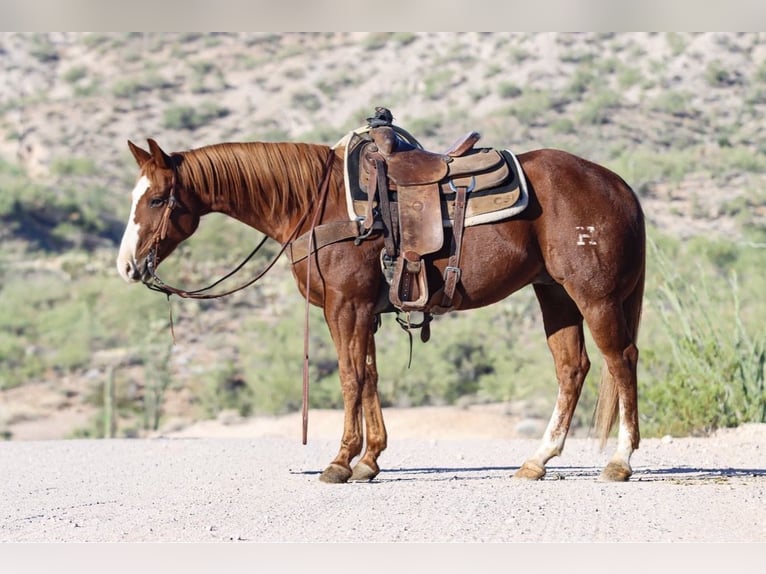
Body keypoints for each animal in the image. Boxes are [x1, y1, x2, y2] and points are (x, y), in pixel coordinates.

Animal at [116, 127, 645, 483]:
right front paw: (369, 460)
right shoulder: (363, 311)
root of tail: (618, 184)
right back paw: (537, 460)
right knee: (572, 367)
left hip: (594, 296)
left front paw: (339, 461)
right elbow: (369, 376)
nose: (127, 266)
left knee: (620, 360)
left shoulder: (345, 306)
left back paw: (619, 461)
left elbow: (351, 377)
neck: (319, 203)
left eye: (157, 199)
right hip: (554, 293)